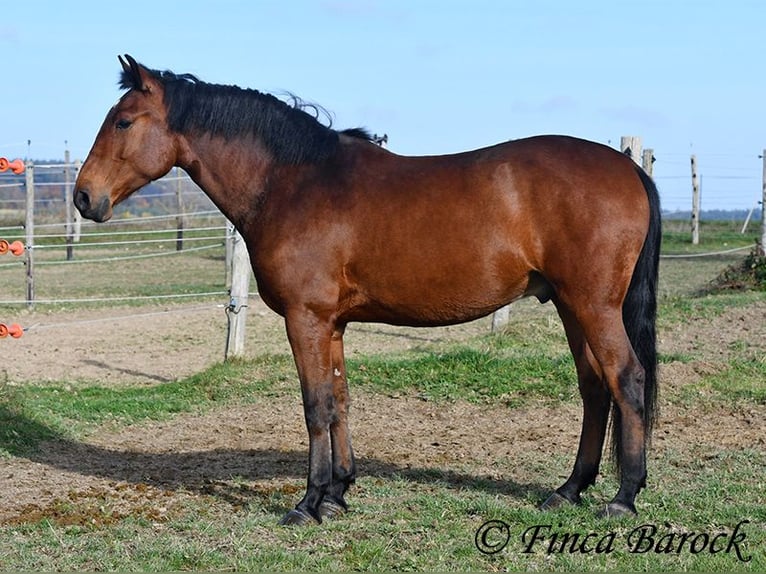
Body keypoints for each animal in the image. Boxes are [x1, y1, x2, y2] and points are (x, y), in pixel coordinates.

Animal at [75, 54, 664, 528]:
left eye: (123, 121)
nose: (84, 198)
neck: (294, 182)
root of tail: (628, 168)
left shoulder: (306, 319)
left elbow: (315, 405)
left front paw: (308, 503)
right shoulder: (331, 324)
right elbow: (339, 400)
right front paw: (338, 493)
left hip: (592, 305)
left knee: (626, 379)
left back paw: (623, 497)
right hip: (569, 305)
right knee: (594, 388)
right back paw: (568, 490)